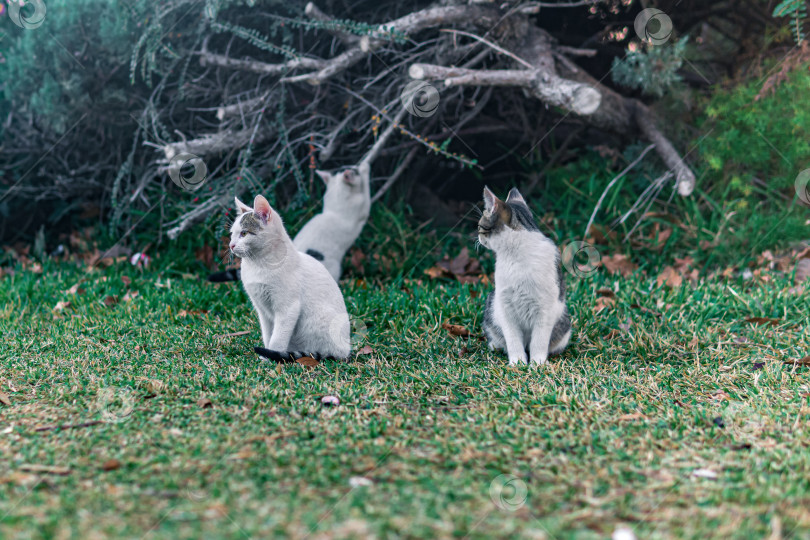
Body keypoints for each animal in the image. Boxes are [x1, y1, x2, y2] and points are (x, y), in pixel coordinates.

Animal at [210, 162, 370, 282]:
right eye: (355, 170)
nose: (356, 165)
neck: (337, 200)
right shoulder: (360, 211)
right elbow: (367, 192)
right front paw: (365, 167)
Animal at [229, 194, 352, 362]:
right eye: (232, 234)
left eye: (244, 233)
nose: (231, 245)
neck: (258, 264)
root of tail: (346, 351)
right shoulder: (262, 309)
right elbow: (268, 334)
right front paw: (265, 357)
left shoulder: (288, 309)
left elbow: (277, 338)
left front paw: (271, 357)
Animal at [476, 186, 572, 368]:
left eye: (480, 225)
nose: (478, 236)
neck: (515, 254)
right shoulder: (505, 305)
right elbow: (513, 339)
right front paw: (518, 362)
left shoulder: (544, 309)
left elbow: (539, 341)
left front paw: (538, 363)